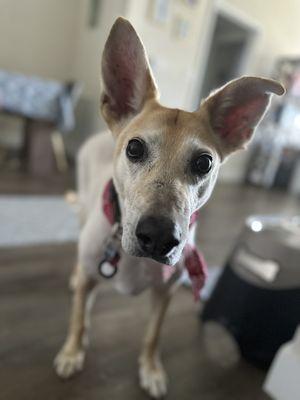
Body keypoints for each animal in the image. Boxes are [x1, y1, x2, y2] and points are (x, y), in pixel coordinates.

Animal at [53, 17, 284, 398]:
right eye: (134, 148)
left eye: (204, 162)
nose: (159, 237)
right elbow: (77, 320)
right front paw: (72, 352)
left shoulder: (166, 293)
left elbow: (152, 335)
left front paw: (151, 369)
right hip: (84, 213)